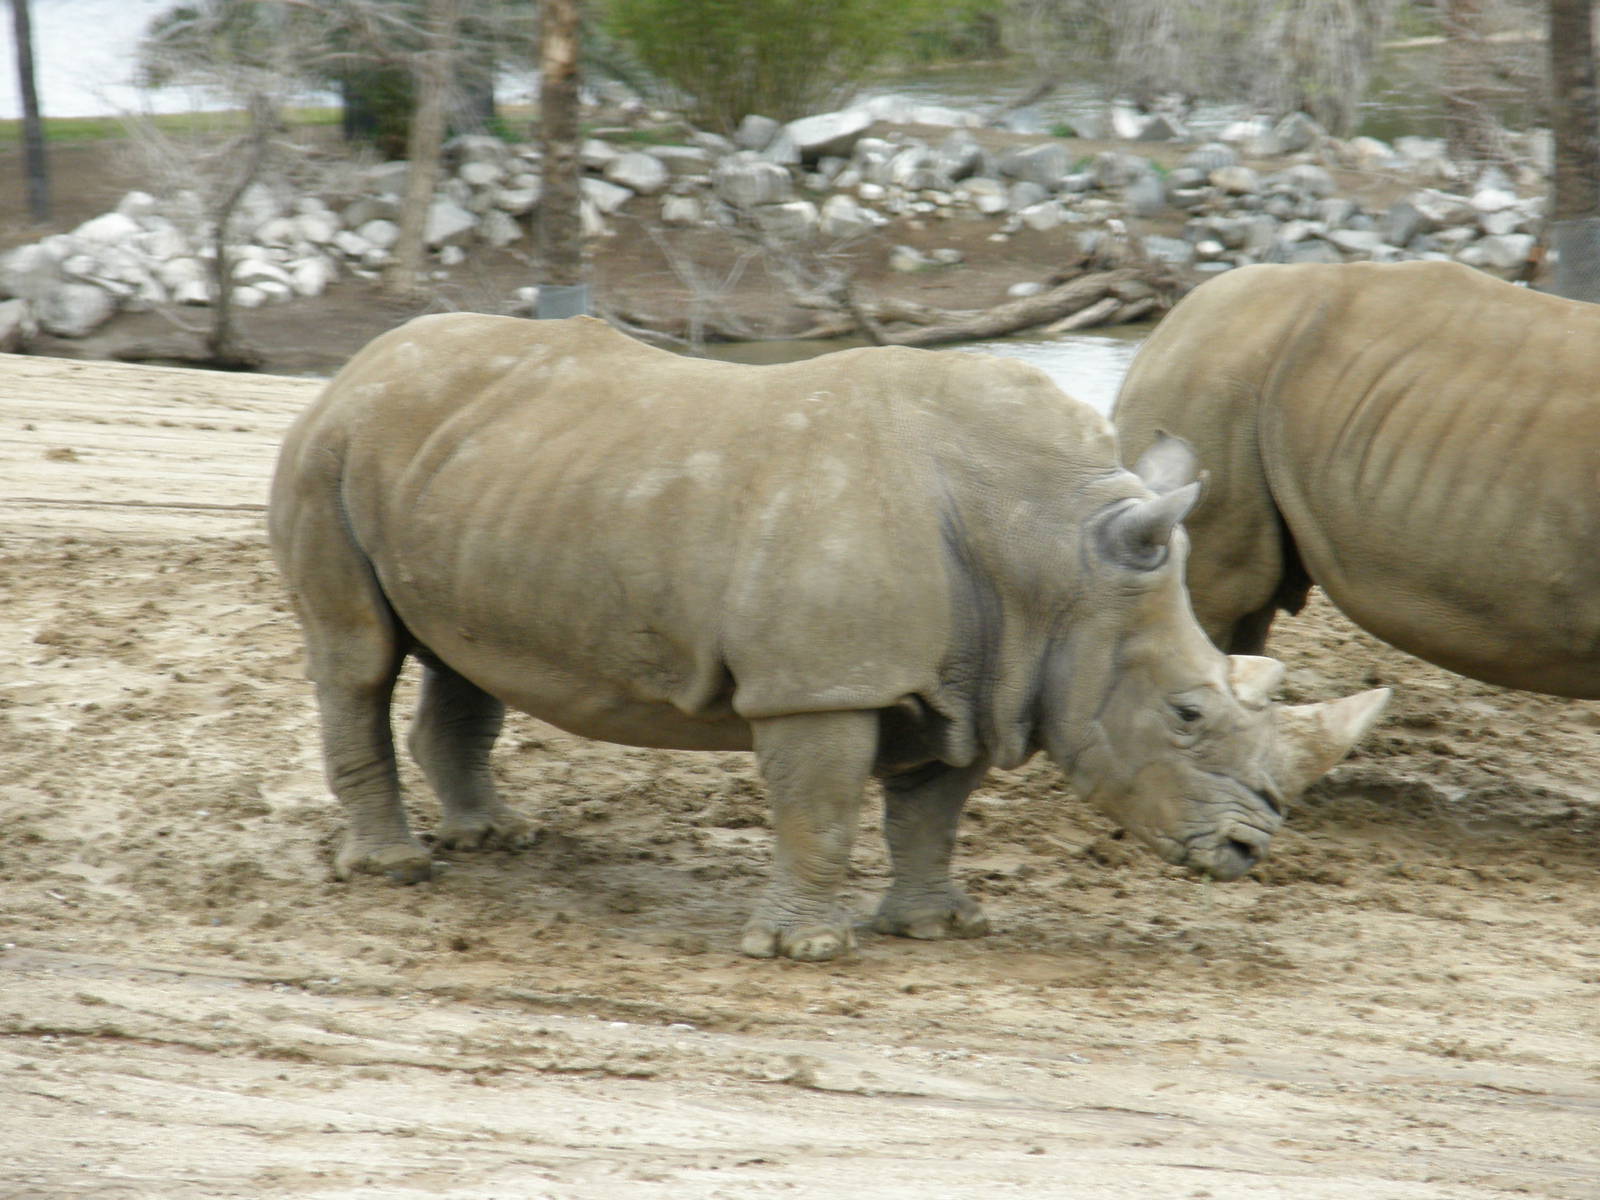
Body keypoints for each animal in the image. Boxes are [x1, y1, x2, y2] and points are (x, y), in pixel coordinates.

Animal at [268, 313, 1388, 962]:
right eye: (1187, 713)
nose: (1250, 847)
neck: (1050, 553)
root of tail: (361, 360)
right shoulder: (823, 682)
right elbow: (822, 809)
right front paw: (804, 951)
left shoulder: (977, 676)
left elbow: (930, 810)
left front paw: (937, 927)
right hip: (330, 451)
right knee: (355, 657)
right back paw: (397, 871)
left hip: (473, 469)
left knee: (465, 657)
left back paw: (495, 840)